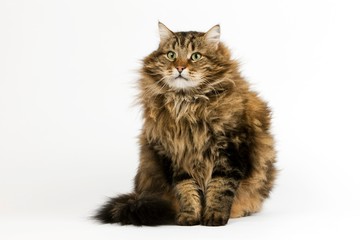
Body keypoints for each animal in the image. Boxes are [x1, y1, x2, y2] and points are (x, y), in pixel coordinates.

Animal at [94, 21, 278, 226]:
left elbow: (221, 188)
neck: (187, 105)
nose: (180, 68)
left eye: (195, 56)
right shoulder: (174, 153)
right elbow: (185, 189)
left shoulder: (231, 148)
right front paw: (190, 216)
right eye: (171, 55)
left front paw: (214, 216)